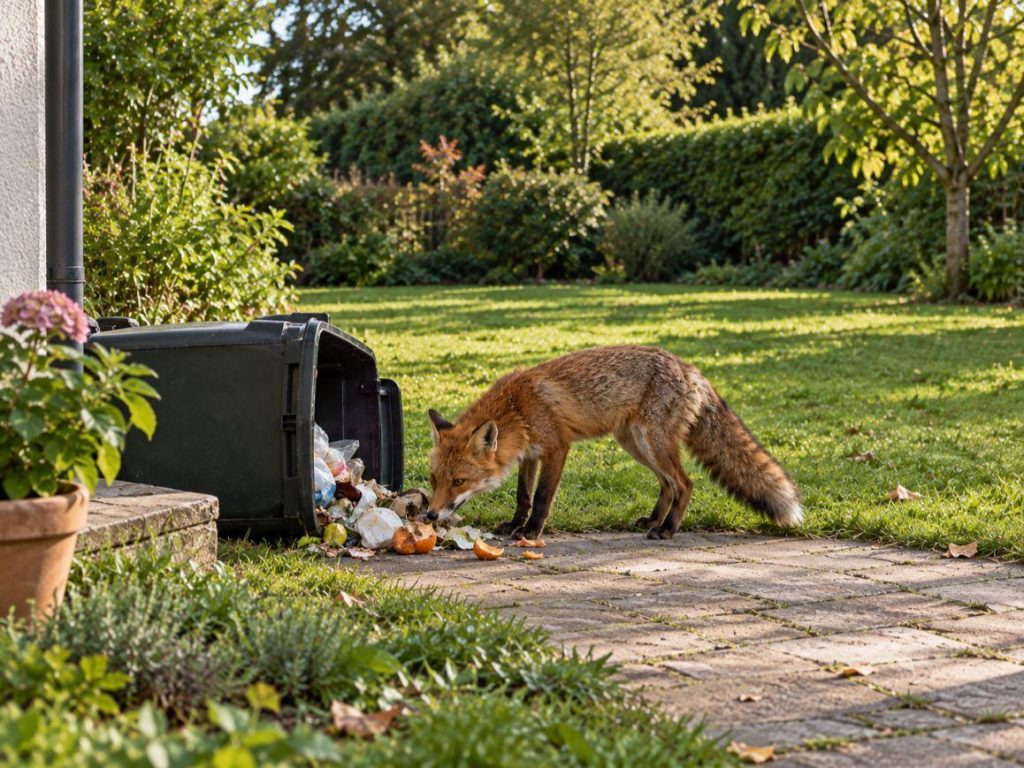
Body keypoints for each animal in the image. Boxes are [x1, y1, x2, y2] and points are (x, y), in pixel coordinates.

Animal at [425, 345, 803, 540]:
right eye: (434, 479)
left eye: (459, 481)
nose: (429, 515)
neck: (517, 408)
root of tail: (691, 368)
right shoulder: (530, 454)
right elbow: (523, 496)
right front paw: (515, 524)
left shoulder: (557, 448)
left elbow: (543, 497)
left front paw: (531, 532)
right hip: (636, 445)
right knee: (668, 485)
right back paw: (653, 521)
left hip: (653, 444)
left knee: (685, 483)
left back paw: (668, 530)